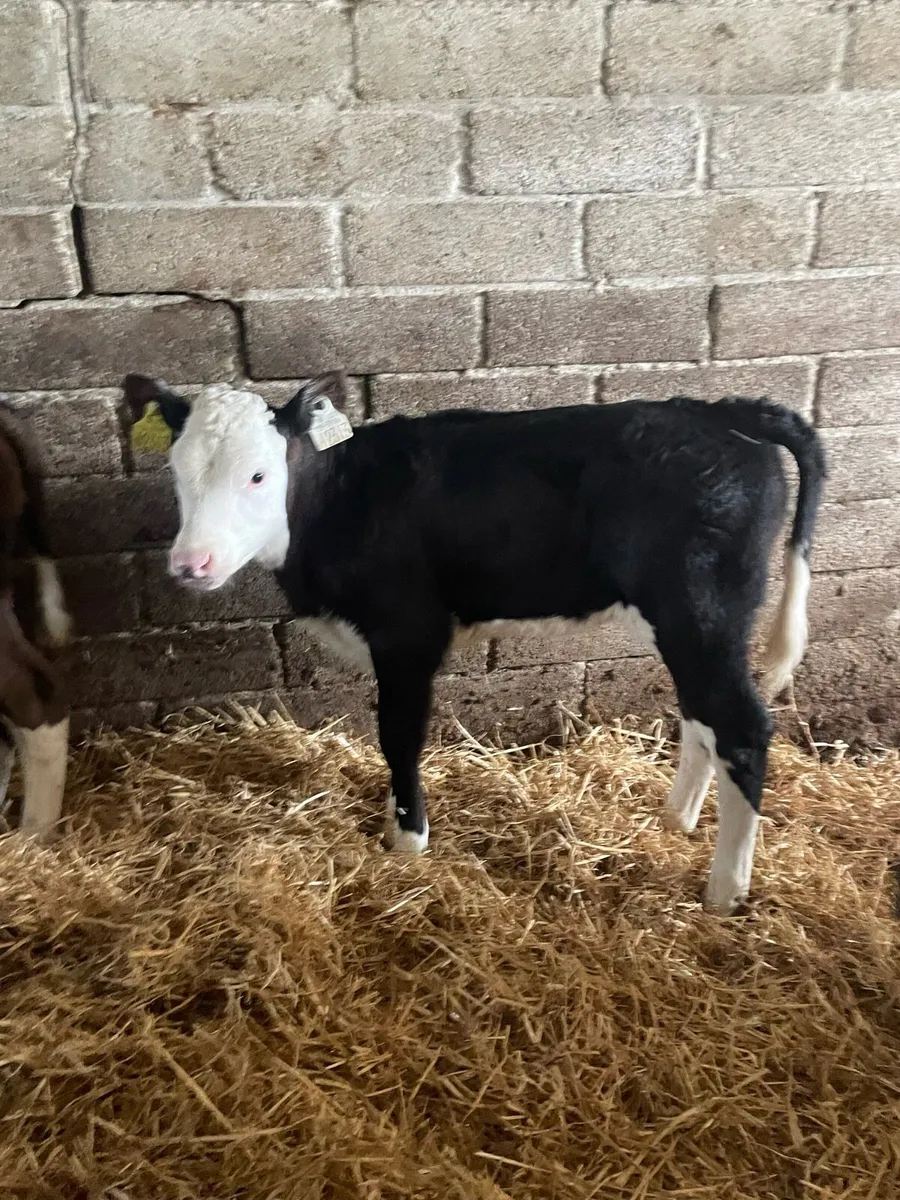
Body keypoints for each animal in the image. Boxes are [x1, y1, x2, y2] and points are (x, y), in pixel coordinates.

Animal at [122, 373, 825, 915]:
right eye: (175, 471)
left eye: (259, 475)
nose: (192, 563)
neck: (340, 503)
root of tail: (719, 411)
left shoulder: (408, 631)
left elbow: (399, 735)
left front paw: (407, 839)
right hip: (689, 620)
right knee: (703, 716)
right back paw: (677, 819)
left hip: (702, 607)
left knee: (742, 726)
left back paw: (724, 889)